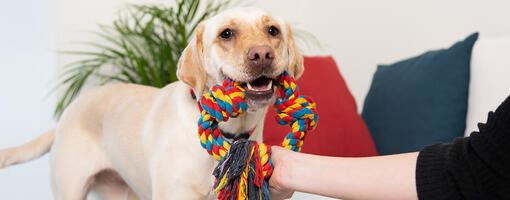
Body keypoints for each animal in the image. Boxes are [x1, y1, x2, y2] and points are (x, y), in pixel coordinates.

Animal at [0, 7, 302, 199]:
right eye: (226, 33)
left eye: (272, 30)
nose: (262, 54)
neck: (229, 133)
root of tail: (69, 111)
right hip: (71, 188)